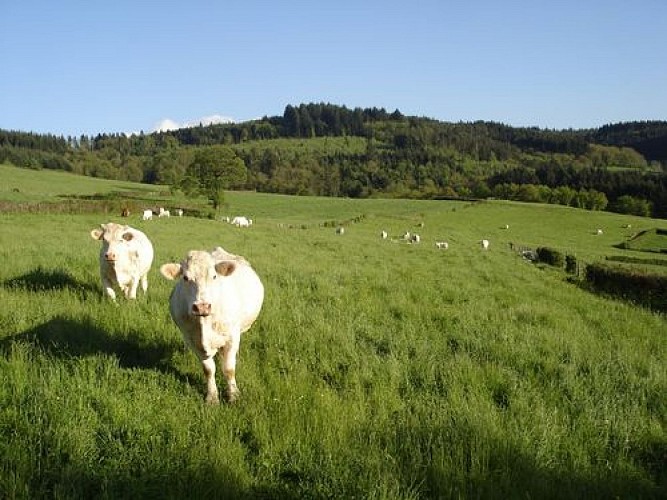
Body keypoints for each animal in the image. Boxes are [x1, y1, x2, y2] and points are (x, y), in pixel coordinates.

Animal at [160, 248, 264, 404]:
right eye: (185, 277)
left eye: (214, 276)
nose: (202, 307)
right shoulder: (193, 341)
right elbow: (208, 370)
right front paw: (212, 397)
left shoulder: (232, 337)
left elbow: (229, 369)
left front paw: (233, 395)